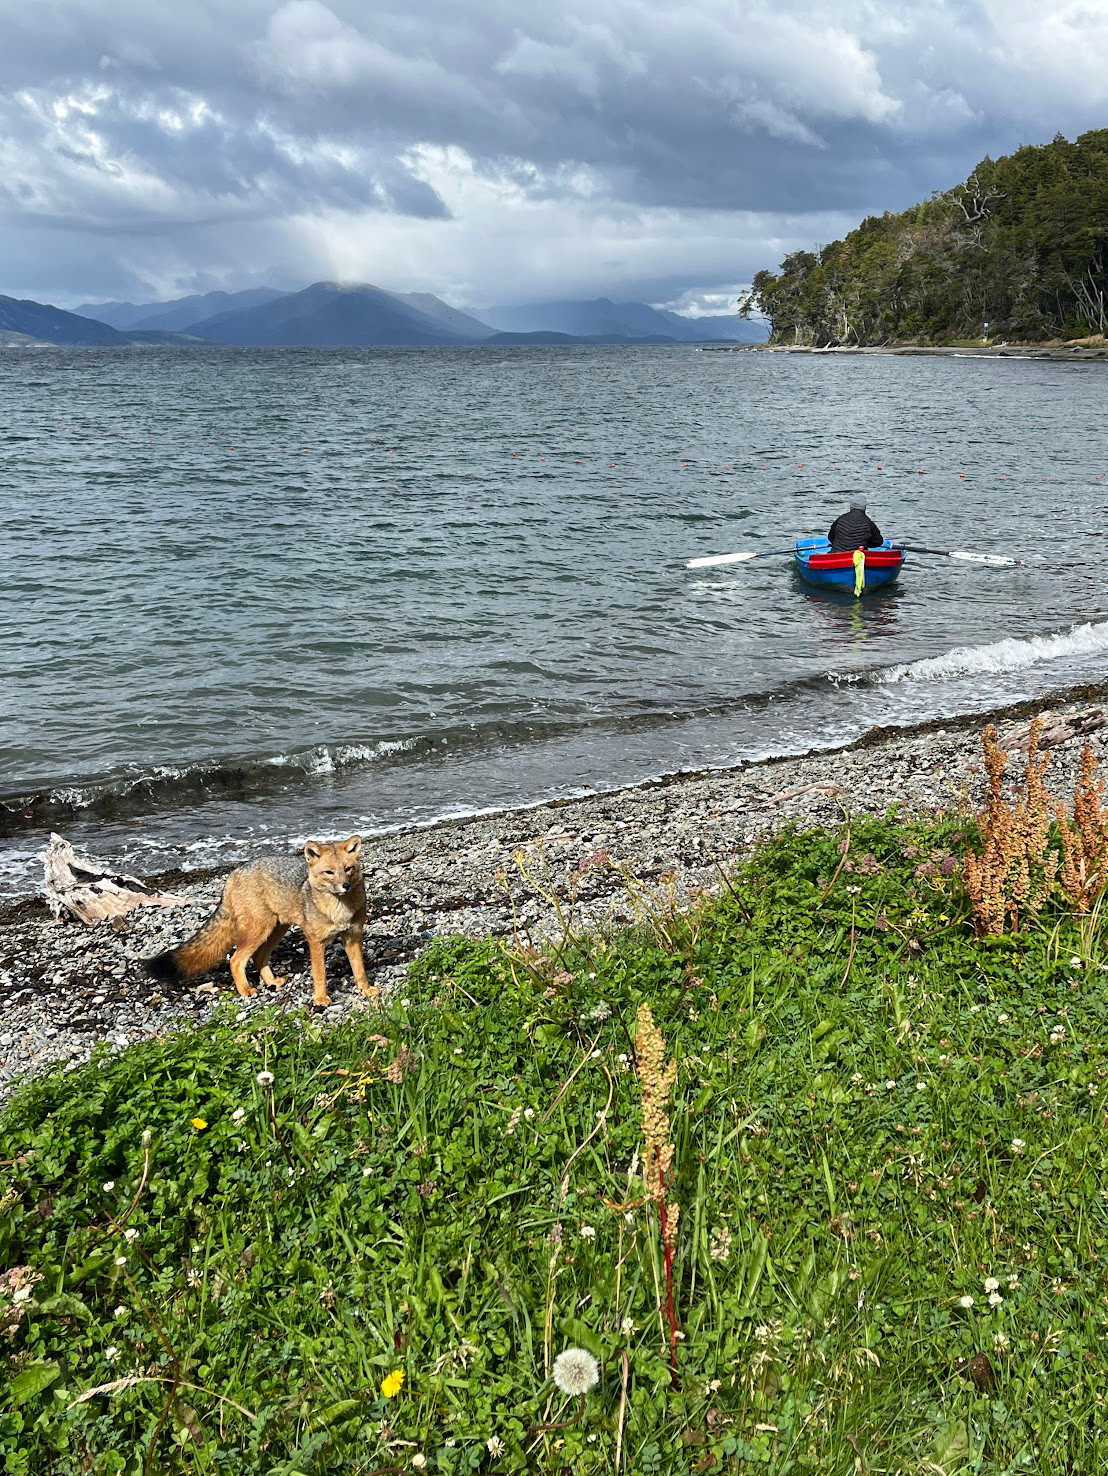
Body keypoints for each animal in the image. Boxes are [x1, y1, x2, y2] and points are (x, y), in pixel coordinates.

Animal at [145, 835, 377, 1008]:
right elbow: (320, 974)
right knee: (236, 960)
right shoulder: (315, 941)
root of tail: (234, 873)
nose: (345, 886)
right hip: (258, 931)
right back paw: (246, 990)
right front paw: (320, 998)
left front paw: (365, 990)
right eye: (329, 872)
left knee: (258, 957)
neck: (340, 910)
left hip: (275, 930)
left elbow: (359, 969)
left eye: (348, 869)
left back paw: (271, 982)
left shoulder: (353, 937)